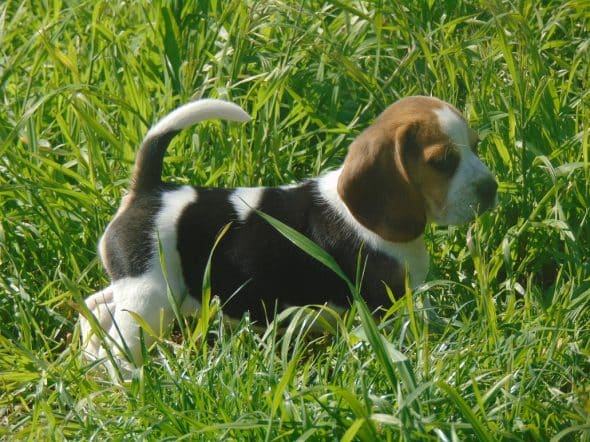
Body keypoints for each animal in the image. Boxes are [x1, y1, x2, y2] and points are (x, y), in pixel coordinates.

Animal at [81, 96, 500, 366]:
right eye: (442, 161)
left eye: (476, 145)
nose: (491, 189)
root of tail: (148, 191)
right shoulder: (392, 304)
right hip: (149, 297)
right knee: (121, 341)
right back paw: (129, 379)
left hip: (138, 286)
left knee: (96, 306)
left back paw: (87, 354)